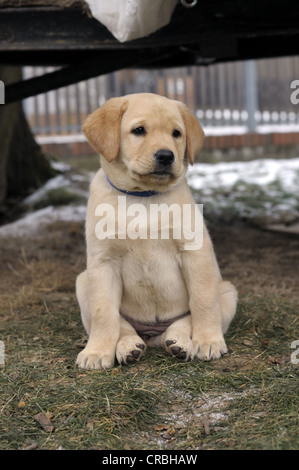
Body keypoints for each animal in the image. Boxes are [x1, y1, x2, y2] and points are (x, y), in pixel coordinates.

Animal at [76, 93, 238, 370]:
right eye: (139, 130)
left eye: (176, 133)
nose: (166, 156)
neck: (143, 196)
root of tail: (151, 334)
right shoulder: (103, 263)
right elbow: (104, 313)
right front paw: (97, 352)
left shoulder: (195, 252)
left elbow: (203, 302)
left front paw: (208, 341)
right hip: (83, 282)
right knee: (124, 325)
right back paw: (129, 346)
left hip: (228, 291)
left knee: (183, 321)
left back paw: (180, 343)